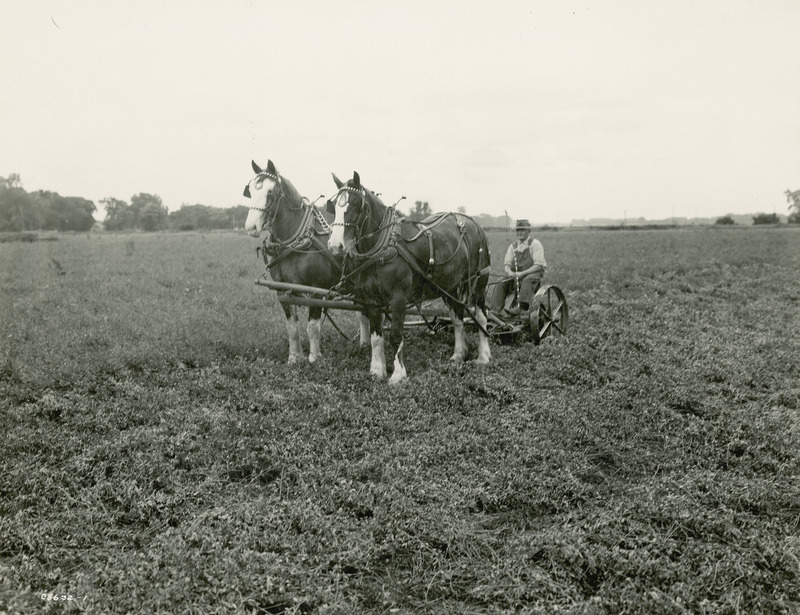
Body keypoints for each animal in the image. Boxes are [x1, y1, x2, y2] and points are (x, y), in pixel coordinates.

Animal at [244, 160, 368, 366]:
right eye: (250, 190)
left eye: (270, 191)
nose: (251, 227)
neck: (296, 242)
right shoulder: (283, 290)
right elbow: (292, 327)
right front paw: (294, 357)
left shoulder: (316, 290)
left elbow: (312, 327)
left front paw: (314, 358)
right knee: (363, 312)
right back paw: (365, 344)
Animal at [328, 172, 490, 384]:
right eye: (333, 206)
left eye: (356, 204)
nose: (334, 246)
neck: (383, 248)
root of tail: (474, 223)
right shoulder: (371, 300)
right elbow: (376, 337)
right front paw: (377, 371)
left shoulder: (398, 299)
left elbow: (396, 335)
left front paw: (398, 375)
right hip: (451, 286)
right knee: (458, 317)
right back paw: (458, 355)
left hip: (479, 282)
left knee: (481, 317)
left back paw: (484, 356)